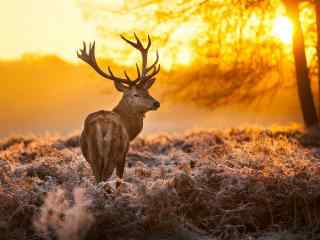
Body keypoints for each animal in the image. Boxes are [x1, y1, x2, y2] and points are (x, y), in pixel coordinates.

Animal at [76, 33, 161, 185]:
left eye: (147, 91)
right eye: (135, 94)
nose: (156, 103)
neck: (129, 128)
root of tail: (103, 128)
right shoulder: (124, 153)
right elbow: (120, 176)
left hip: (93, 156)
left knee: (98, 179)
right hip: (114, 152)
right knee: (105, 178)